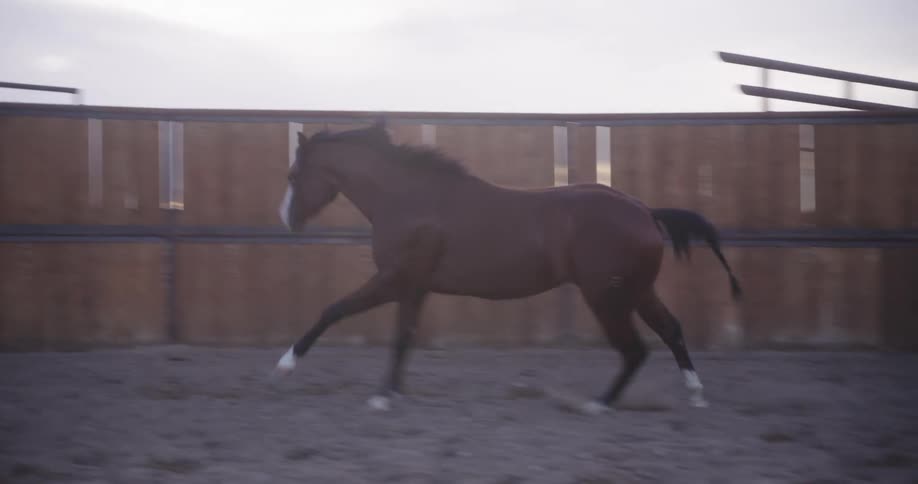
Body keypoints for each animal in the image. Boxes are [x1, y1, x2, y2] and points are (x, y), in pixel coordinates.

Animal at [275, 120, 741, 414]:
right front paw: (389, 394)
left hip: (607, 297)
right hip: (637, 291)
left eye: (294, 175)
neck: (410, 199)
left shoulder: (396, 279)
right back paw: (695, 395)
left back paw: (597, 404)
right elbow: (403, 337)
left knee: (634, 349)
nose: (286, 220)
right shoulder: (415, 286)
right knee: (670, 331)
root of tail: (645, 210)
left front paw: (286, 366)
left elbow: (335, 310)